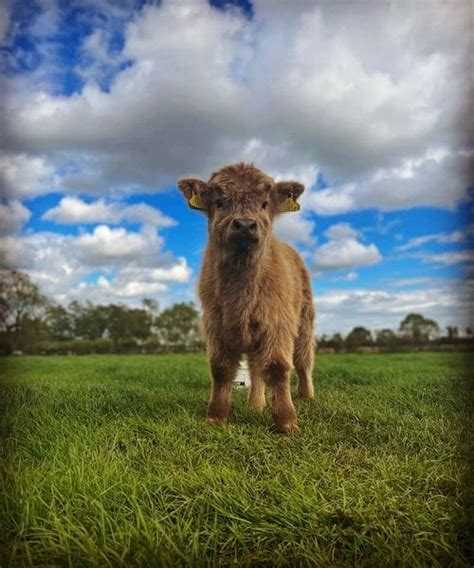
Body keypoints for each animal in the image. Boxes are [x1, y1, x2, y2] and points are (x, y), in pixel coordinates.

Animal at [178, 162, 314, 432]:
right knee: (255, 368)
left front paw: (287, 421)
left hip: (305, 321)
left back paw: (306, 396)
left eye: (264, 203)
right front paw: (216, 416)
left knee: (304, 359)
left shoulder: (277, 324)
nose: (244, 224)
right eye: (219, 202)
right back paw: (255, 405)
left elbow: (278, 367)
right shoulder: (215, 324)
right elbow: (221, 369)